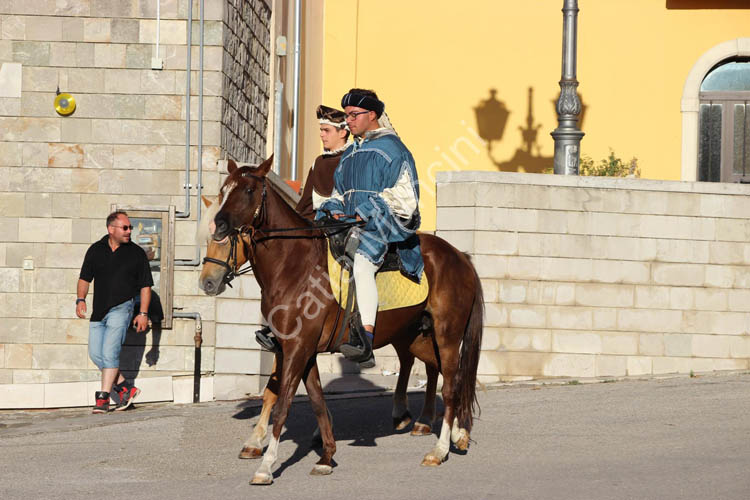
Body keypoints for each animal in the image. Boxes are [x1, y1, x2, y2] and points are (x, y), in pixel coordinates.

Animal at [197, 157, 484, 484]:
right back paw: (443, 429)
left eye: (248, 190)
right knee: (439, 371)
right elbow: (315, 401)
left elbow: (282, 404)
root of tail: (459, 256)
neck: (295, 266)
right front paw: (326, 455)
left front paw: (266, 465)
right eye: (223, 190)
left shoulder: (297, 349)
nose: (207, 282)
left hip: (447, 336)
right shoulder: (297, 350)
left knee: (452, 385)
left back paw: (440, 448)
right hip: (416, 336)